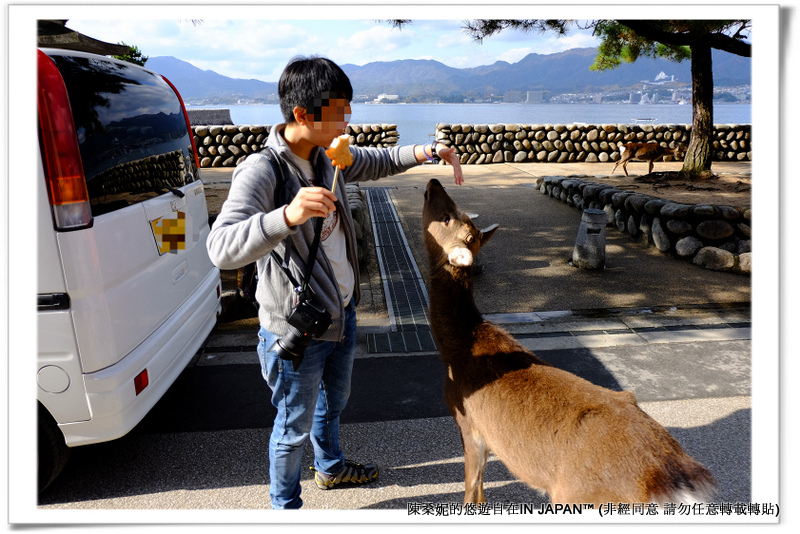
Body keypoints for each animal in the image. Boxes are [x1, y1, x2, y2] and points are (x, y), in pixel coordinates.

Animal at [422, 178, 716, 508]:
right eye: (455, 211)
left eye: (448, 217)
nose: (433, 182)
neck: (459, 347)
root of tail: (672, 481)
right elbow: (482, 493)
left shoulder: (468, 422)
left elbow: (471, 489)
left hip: (577, 497)